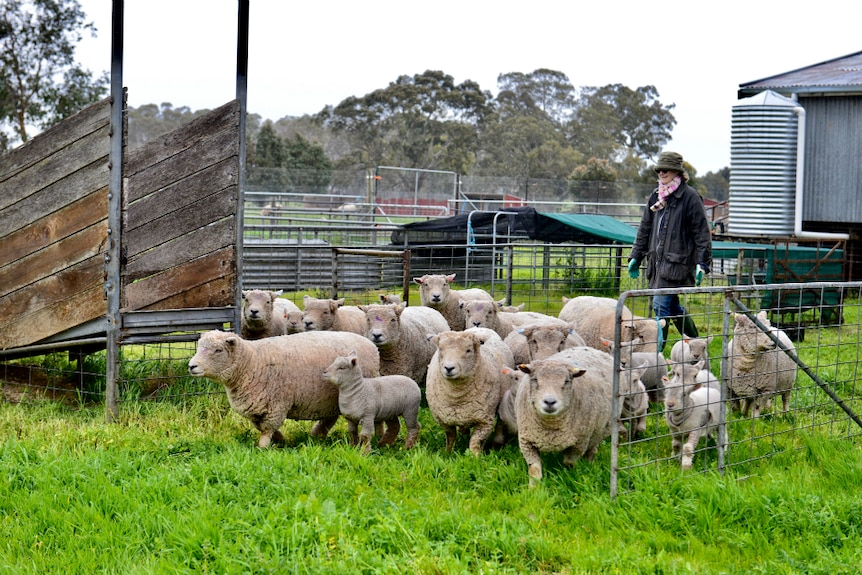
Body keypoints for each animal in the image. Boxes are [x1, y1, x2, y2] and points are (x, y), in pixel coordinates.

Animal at [191, 328, 384, 450]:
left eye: (218, 350)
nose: (191, 366)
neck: (252, 361)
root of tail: (371, 345)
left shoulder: (277, 404)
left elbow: (266, 430)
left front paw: (262, 449)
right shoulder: (257, 408)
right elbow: (263, 427)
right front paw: (282, 440)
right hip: (329, 398)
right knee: (330, 418)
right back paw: (316, 436)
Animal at [516, 346, 616, 486]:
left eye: (567, 381)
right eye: (535, 379)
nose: (550, 401)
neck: (550, 426)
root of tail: (592, 348)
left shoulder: (580, 443)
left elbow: (569, 462)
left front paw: (569, 477)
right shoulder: (526, 442)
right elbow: (534, 469)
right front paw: (533, 488)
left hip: (598, 432)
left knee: (592, 449)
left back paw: (589, 464)